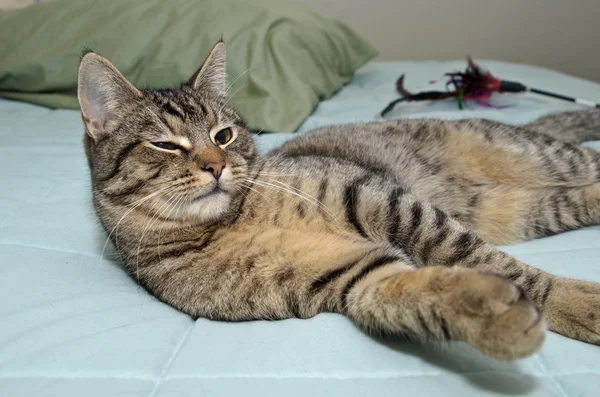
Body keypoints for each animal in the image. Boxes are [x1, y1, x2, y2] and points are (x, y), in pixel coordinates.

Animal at [78, 41, 600, 360]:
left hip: (541, 157)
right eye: (165, 144)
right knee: (570, 199)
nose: (216, 165)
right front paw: (494, 317)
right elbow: (423, 292)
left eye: (223, 135)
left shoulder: (381, 199)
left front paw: (573, 302)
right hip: (515, 208)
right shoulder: (351, 277)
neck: (228, 223)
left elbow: (487, 260)